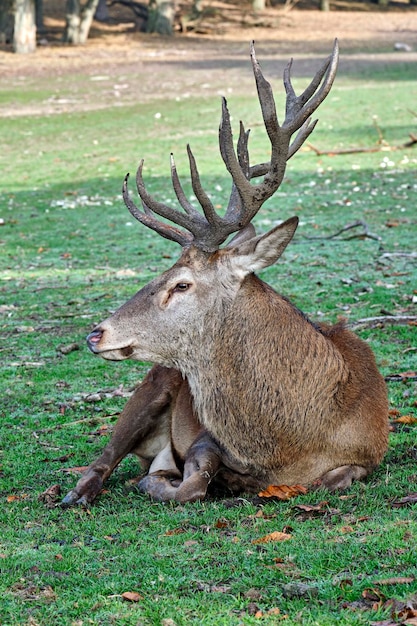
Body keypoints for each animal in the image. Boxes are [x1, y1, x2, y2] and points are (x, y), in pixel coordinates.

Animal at [61, 39, 386, 504]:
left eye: (181, 284)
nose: (96, 334)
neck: (295, 441)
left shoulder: (368, 454)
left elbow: (336, 477)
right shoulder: (205, 438)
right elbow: (193, 482)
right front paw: (176, 480)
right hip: (150, 387)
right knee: (103, 461)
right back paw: (78, 492)